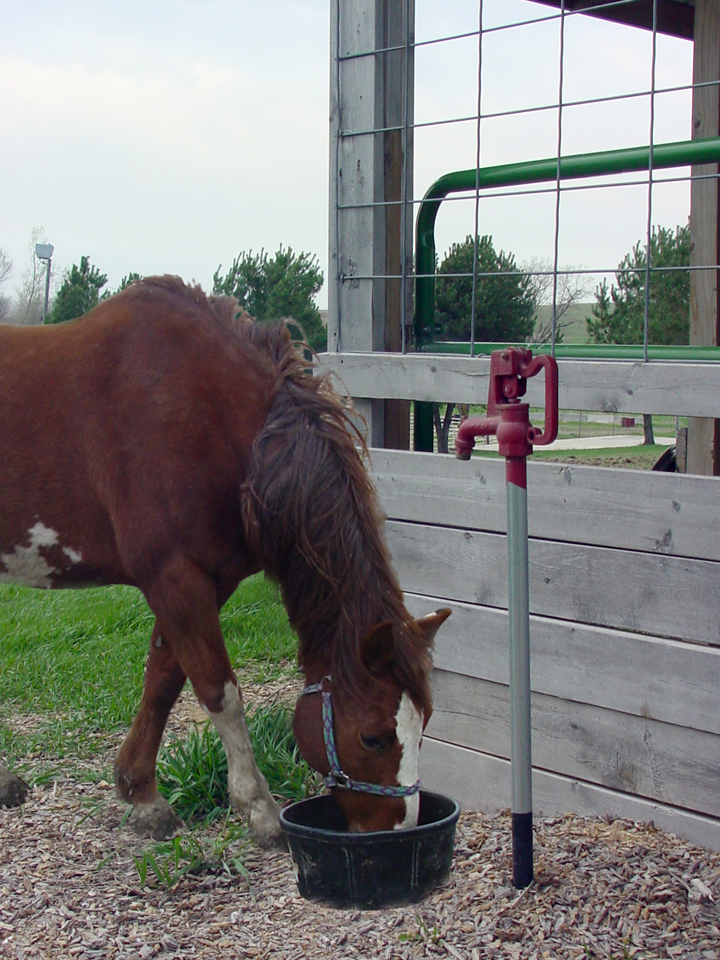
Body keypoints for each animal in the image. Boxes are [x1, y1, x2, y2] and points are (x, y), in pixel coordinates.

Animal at [0, 276, 450, 840]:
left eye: (425, 722)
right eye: (373, 737)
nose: (400, 831)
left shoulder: (207, 580)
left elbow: (164, 680)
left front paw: (141, 793)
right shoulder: (173, 578)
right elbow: (219, 691)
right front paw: (259, 808)